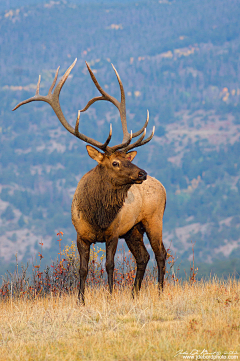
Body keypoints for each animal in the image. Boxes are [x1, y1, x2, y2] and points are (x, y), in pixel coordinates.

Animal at [13, 59, 167, 304]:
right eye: (115, 162)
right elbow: (83, 269)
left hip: (153, 218)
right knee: (143, 257)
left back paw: (160, 291)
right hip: (133, 229)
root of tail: (162, 186)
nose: (142, 173)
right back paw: (134, 293)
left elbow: (110, 265)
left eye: (128, 158)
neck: (98, 217)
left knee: (161, 253)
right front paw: (80, 300)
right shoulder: (81, 235)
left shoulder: (113, 233)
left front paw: (110, 295)